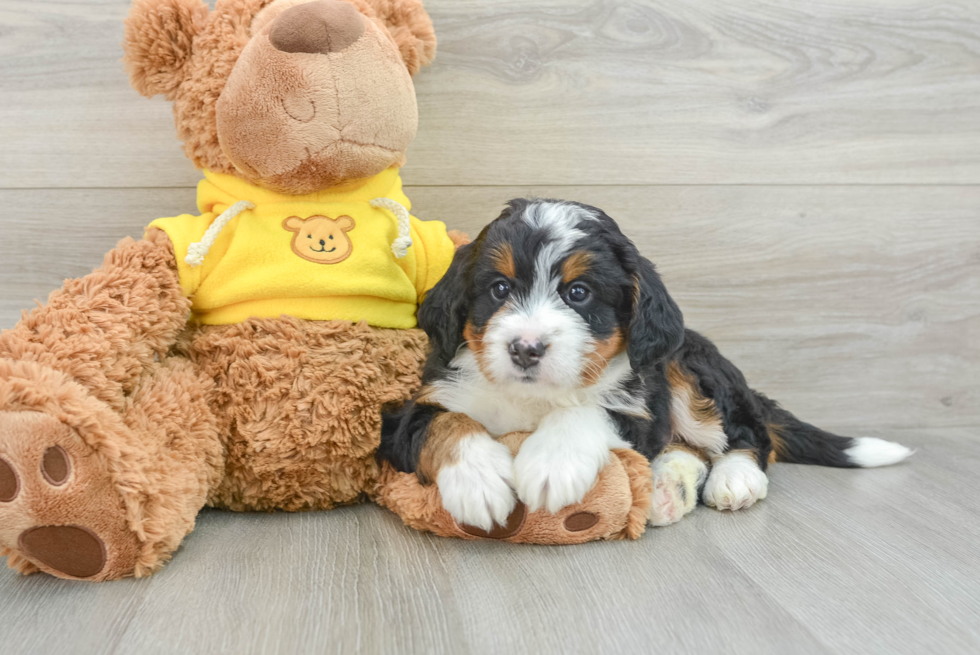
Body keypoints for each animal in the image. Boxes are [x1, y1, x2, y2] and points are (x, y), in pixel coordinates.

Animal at [378, 200, 916, 532]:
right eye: (499, 289)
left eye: (579, 293)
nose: (526, 348)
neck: (532, 397)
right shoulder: (415, 409)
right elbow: (447, 423)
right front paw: (479, 482)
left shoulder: (636, 406)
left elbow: (588, 411)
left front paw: (552, 462)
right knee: (688, 449)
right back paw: (665, 489)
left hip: (686, 369)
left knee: (749, 435)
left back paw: (734, 480)